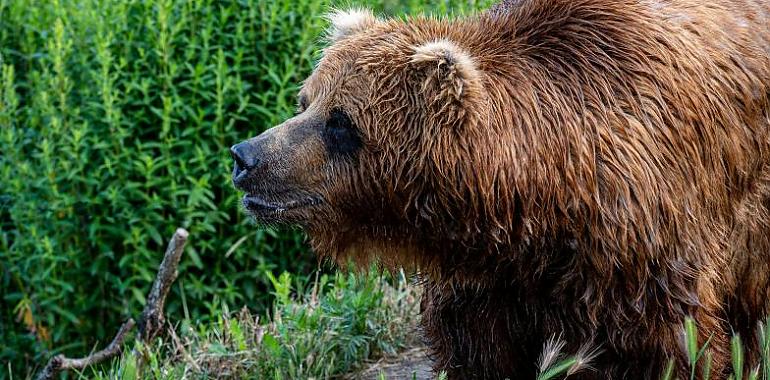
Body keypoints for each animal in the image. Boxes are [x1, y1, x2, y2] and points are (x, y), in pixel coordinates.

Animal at [230, 1, 768, 378]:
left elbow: (672, 348)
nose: (245, 157)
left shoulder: (641, 250)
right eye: (306, 101)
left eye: (341, 122)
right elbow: (478, 353)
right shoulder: (484, 281)